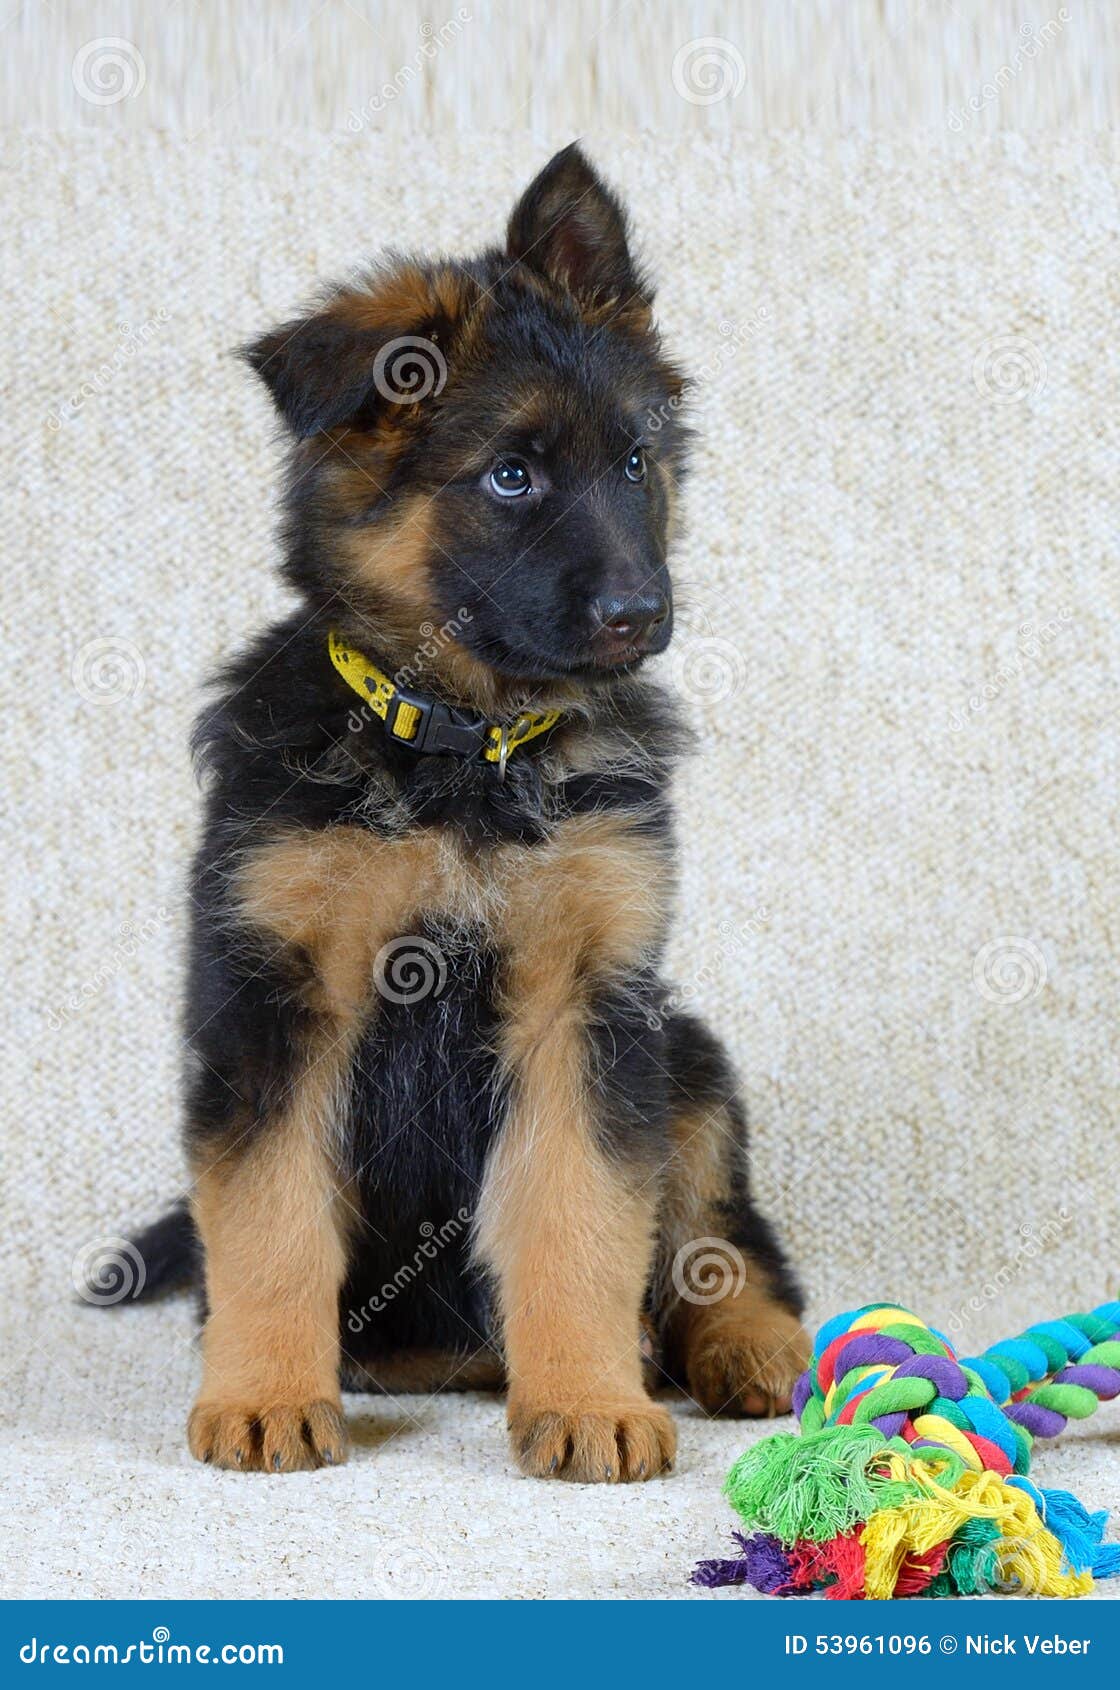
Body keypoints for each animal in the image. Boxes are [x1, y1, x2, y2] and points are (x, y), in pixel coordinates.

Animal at [122, 141, 810, 1480]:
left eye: (636, 462)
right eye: (511, 476)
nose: (640, 617)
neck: (460, 752)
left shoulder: (586, 1002)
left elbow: (581, 1217)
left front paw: (590, 1402)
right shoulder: (271, 1004)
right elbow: (270, 1221)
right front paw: (264, 1394)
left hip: (687, 1055)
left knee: (729, 1233)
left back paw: (745, 1349)